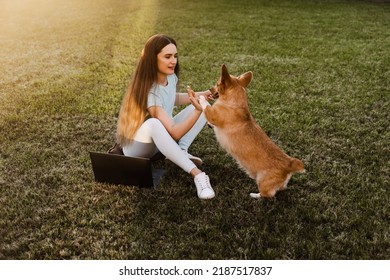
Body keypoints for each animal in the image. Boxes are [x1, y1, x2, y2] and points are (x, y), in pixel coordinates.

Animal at [200, 64, 306, 198]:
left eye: (217, 84)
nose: (209, 89)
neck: (234, 101)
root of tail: (289, 163)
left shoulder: (213, 114)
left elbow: (206, 106)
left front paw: (199, 96)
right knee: (280, 188)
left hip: (262, 181)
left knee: (268, 194)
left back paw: (254, 195)